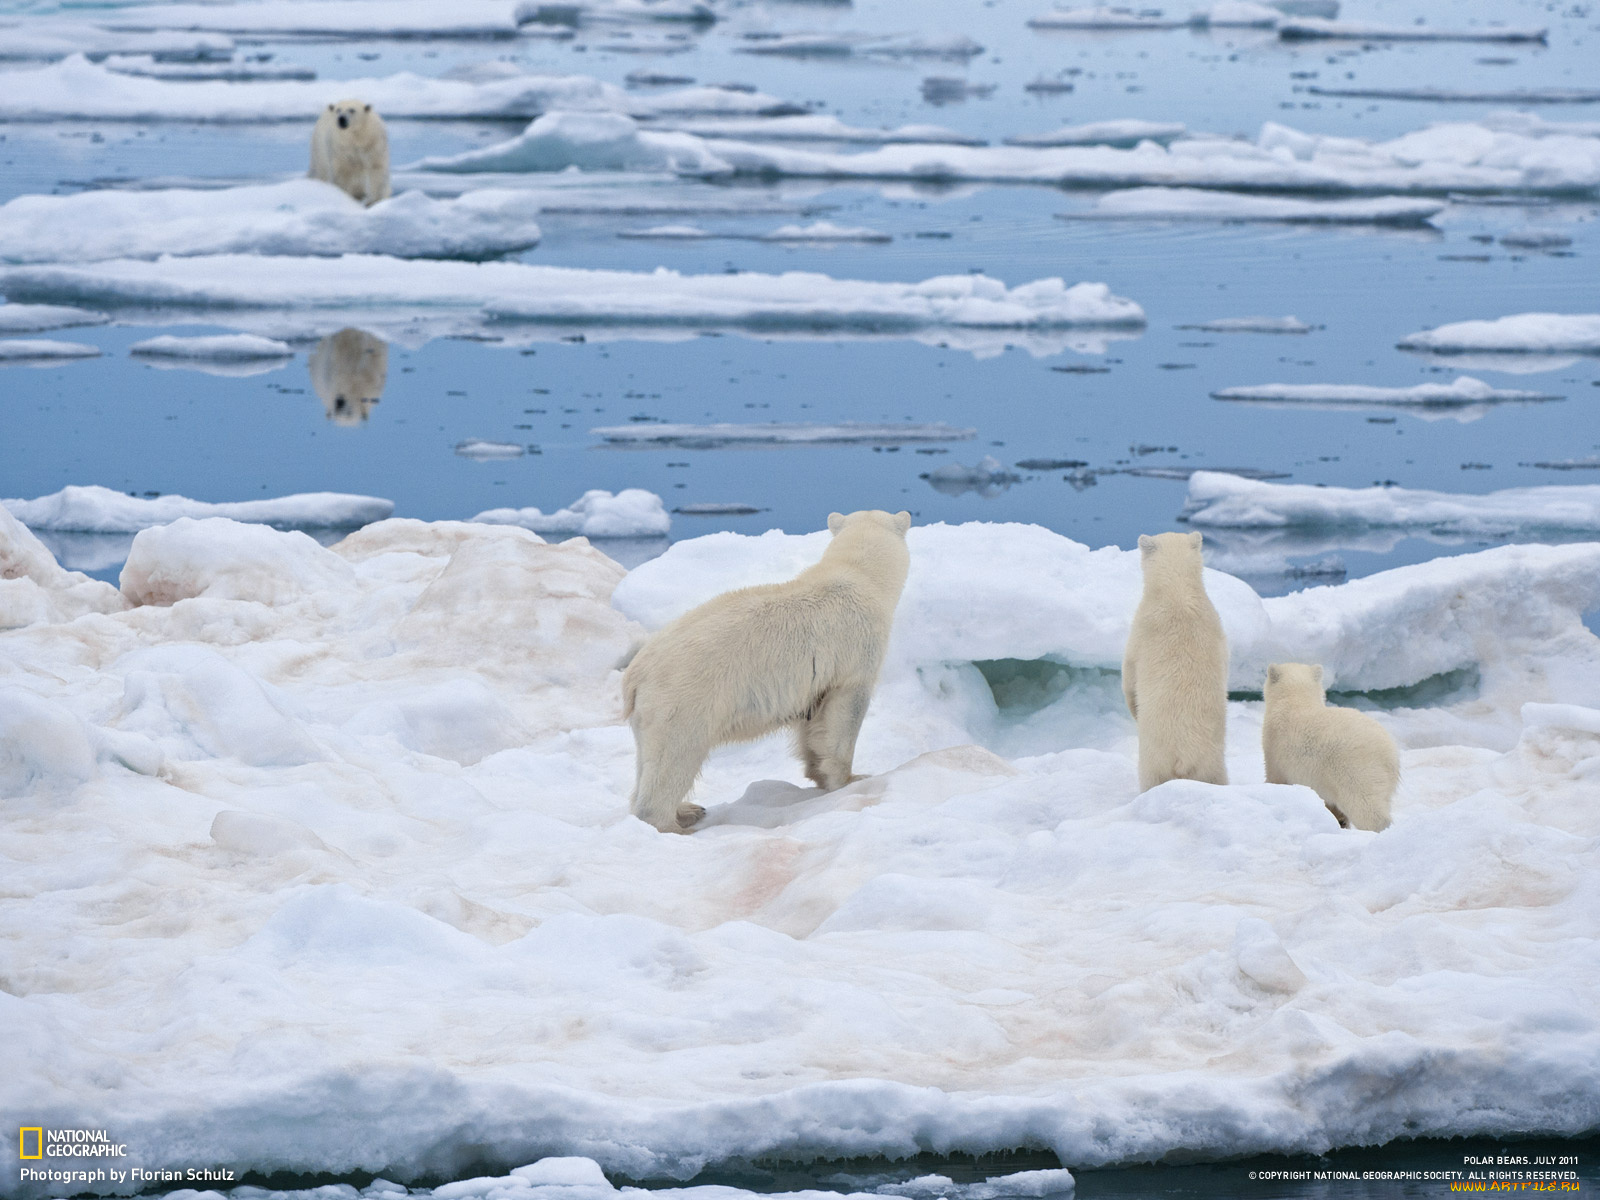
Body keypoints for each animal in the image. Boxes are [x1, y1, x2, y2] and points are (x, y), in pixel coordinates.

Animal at [624, 508, 915, 838]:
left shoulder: (814, 680)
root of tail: (636, 674)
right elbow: (844, 716)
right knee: (675, 758)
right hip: (685, 699)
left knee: (647, 760)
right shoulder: (856, 652)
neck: (859, 577)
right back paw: (678, 821)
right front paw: (852, 779)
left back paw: (685, 811)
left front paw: (816, 772)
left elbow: (812, 720)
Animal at [1120, 531, 1228, 793]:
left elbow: (1129, 676)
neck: (1177, 591)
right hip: (1211, 763)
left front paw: (1134, 709)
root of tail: (1184, 755)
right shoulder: (1217, 629)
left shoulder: (1141, 629)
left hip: (1154, 759)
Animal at [1260, 662, 1401, 832]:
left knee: (1365, 807)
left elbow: (1275, 778)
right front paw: (1340, 821)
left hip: (1355, 770)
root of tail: (1389, 754)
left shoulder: (1275, 749)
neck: (1296, 699)